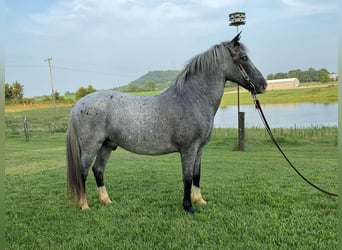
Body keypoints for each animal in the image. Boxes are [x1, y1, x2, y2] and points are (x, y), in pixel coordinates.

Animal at [65, 32, 266, 213]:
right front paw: (188, 207)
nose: (263, 85)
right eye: (243, 57)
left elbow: (196, 175)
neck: (191, 99)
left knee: (98, 170)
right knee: (83, 172)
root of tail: (77, 105)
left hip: (107, 145)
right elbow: (187, 177)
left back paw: (106, 201)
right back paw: (84, 206)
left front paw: (199, 200)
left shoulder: (199, 148)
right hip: (91, 147)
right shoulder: (188, 149)